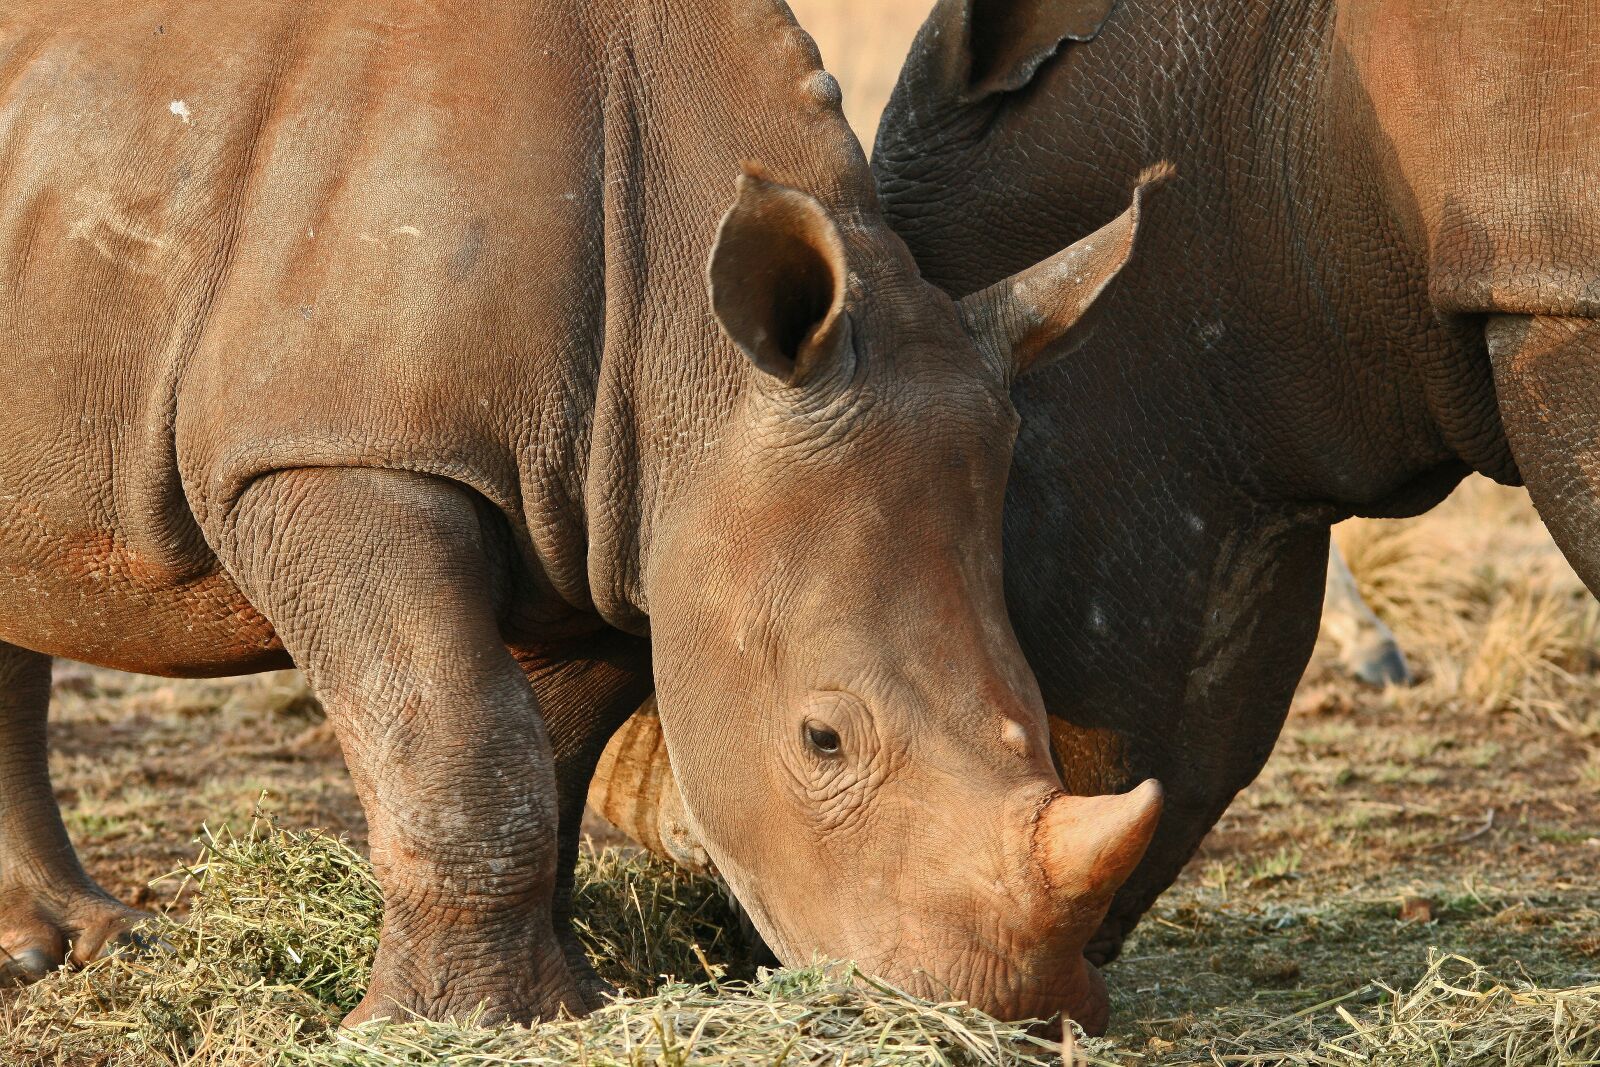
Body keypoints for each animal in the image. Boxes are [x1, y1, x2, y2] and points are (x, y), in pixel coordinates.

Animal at [0, 0, 1177, 1029]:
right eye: (823, 738)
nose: (1013, 1007)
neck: (688, 352)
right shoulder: (332, 453)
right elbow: (460, 732)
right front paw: (447, 1022)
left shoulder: (621, 526)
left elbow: (546, 756)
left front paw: (559, 999)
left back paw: (60, 948)